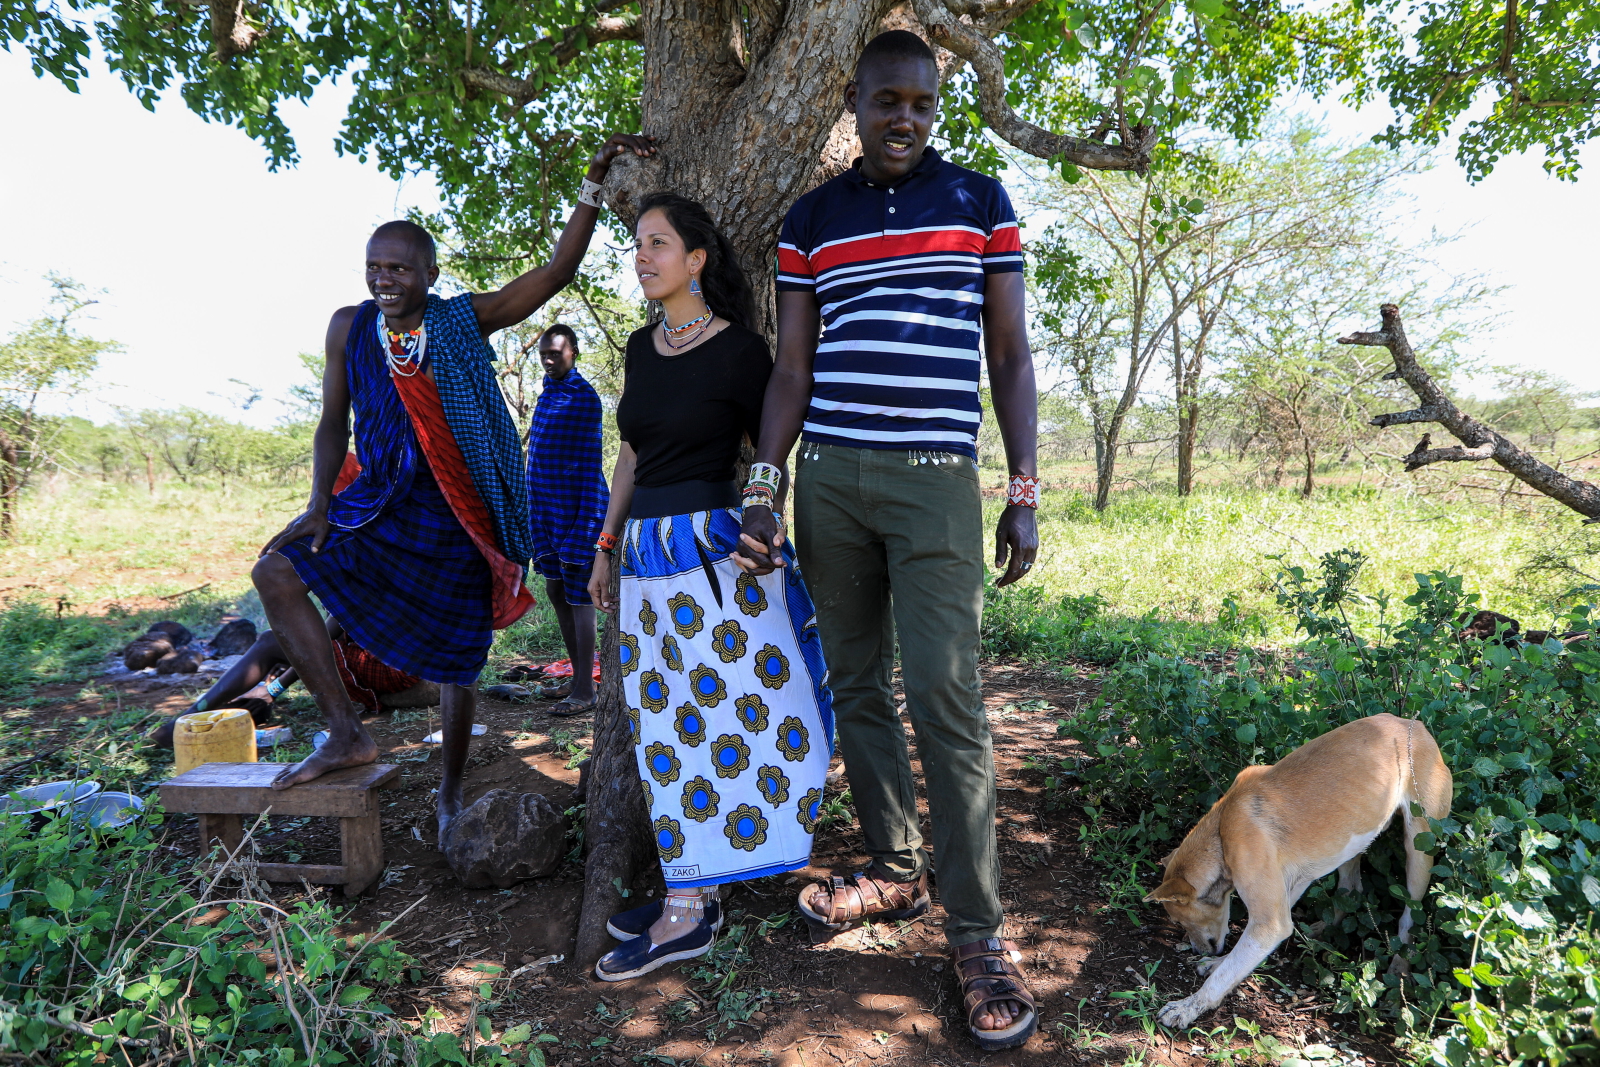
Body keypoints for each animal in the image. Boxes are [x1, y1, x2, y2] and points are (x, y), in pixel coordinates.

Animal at [1152, 713, 1452, 1030]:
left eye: (1181, 921)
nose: (1199, 951)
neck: (1222, 830)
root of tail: (1414, 725)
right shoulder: (1287, 886)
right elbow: (1237, 957)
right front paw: (1219, 963)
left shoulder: (1270, 923)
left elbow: (1225, 974)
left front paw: (1188, 1006)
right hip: (1350, 841)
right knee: (1352, 890)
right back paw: (1324, 929)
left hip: (1418, 850)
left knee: (1409, 916)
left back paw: (1399, 966)